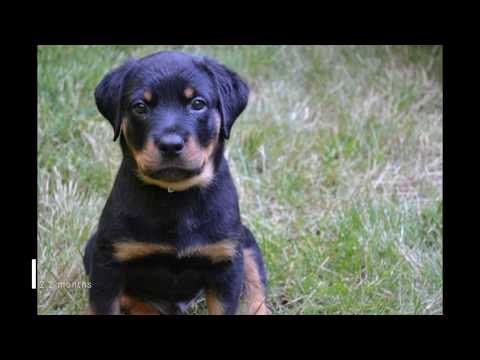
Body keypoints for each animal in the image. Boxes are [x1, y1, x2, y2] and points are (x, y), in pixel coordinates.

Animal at [84, 50, 268, 316]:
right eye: (140, 107)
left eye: (197, 104)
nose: (170, 145)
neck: (176, 196)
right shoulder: (108, 263)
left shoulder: (225, 261)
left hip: (245, 242)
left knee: (255, 286)